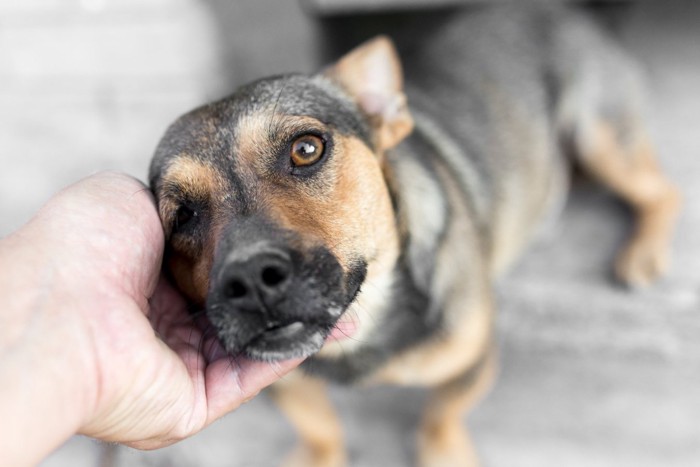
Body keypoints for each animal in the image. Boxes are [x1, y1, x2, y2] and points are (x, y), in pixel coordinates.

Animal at [148, 4, 680, 467]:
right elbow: (319, 425)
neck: (365, 327)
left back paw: (643, 252)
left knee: (663, 192)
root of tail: (567, 11)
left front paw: (443, 452)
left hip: (600, 133)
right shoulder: (285, 383)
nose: (254, 278)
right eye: (181, 216)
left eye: (306, 149)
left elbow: (442, 414)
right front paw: (318, 456)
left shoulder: (472, 357)